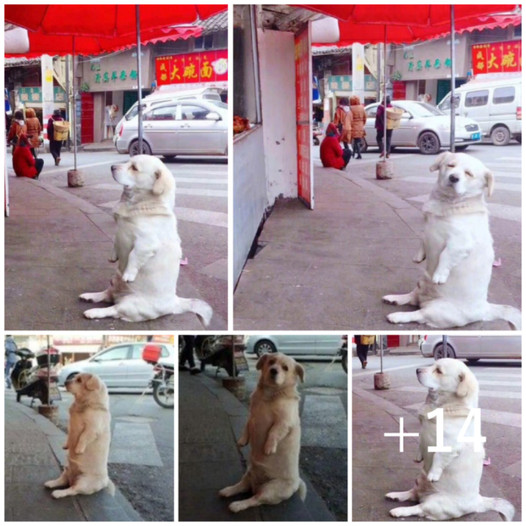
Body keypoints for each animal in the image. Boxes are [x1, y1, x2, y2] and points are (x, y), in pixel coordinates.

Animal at [80, 155, 212, 326]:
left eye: (134, 168)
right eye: (128, 162)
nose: (112, 167)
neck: (137, 204)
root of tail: (174, 303)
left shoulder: (146, 243)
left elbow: (133, 257)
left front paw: (129, 274)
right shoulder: (119, 231)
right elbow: (115, 242)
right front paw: (113, 256)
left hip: (130, 304)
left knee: (113, 309)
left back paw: (93, 312)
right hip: (114, 281)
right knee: (106, 294)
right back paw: (90, 296)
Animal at [220, 352, 310, 512]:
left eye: (285, 368)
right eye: (271, 362)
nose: (274, 370)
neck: (271, 394)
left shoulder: (284, 422)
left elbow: (273, 432)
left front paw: (269, 447)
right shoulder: (252, 415)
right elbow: (246, 427)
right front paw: (242, 441)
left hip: (270, 489)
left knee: (255, 500)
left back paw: (237, 505)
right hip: (248, 474)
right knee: (241, 487)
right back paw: (228, 491)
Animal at [384, 152, 524, 330]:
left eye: (468, 174)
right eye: (450, 165)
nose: (453, 178)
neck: (448, 204)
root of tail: (485, 309)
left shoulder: (460, 243)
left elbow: (445, 256)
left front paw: (439, 275)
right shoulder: (427, 228)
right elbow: (423, 239)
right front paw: (418, 256)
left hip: (437, 310)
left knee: (418, 313)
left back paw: (397, 316)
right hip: (421, 283)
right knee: (412, 297)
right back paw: (395, 298)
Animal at [388, 358, 516, 524]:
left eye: (438, 371)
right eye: (432, 365)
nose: (417, 370)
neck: (442, 406)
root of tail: (478, 501)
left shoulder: (449, 445)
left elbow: (437, 458)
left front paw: (433, 474)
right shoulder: (423, 432)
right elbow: (421, 444)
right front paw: (418, 456)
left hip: (435, 502)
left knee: (418, 507)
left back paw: (399, 510)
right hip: (419, 480)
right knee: (412, 493)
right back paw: (396, 495)